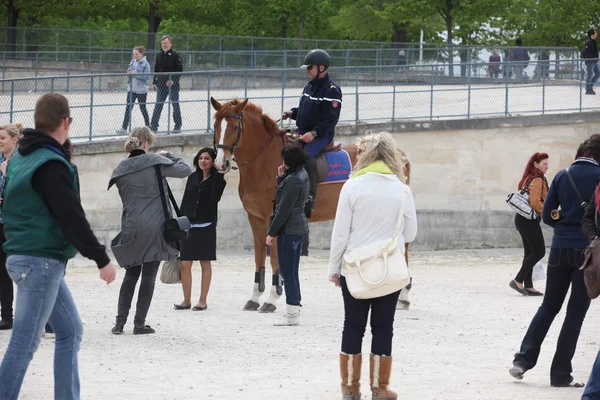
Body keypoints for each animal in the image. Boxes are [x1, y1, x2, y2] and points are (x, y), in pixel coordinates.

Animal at [207, 97, 412, 312]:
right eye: (216, 126)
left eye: (235, 127)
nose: (221, 164)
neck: (265, 162)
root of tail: (397, 153)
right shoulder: (255, 219)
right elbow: (259, 256)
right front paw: (255, 297)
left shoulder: (276, 218)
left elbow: (275, 259)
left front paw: (271, 299)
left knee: (403, 247)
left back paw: (403, 295)